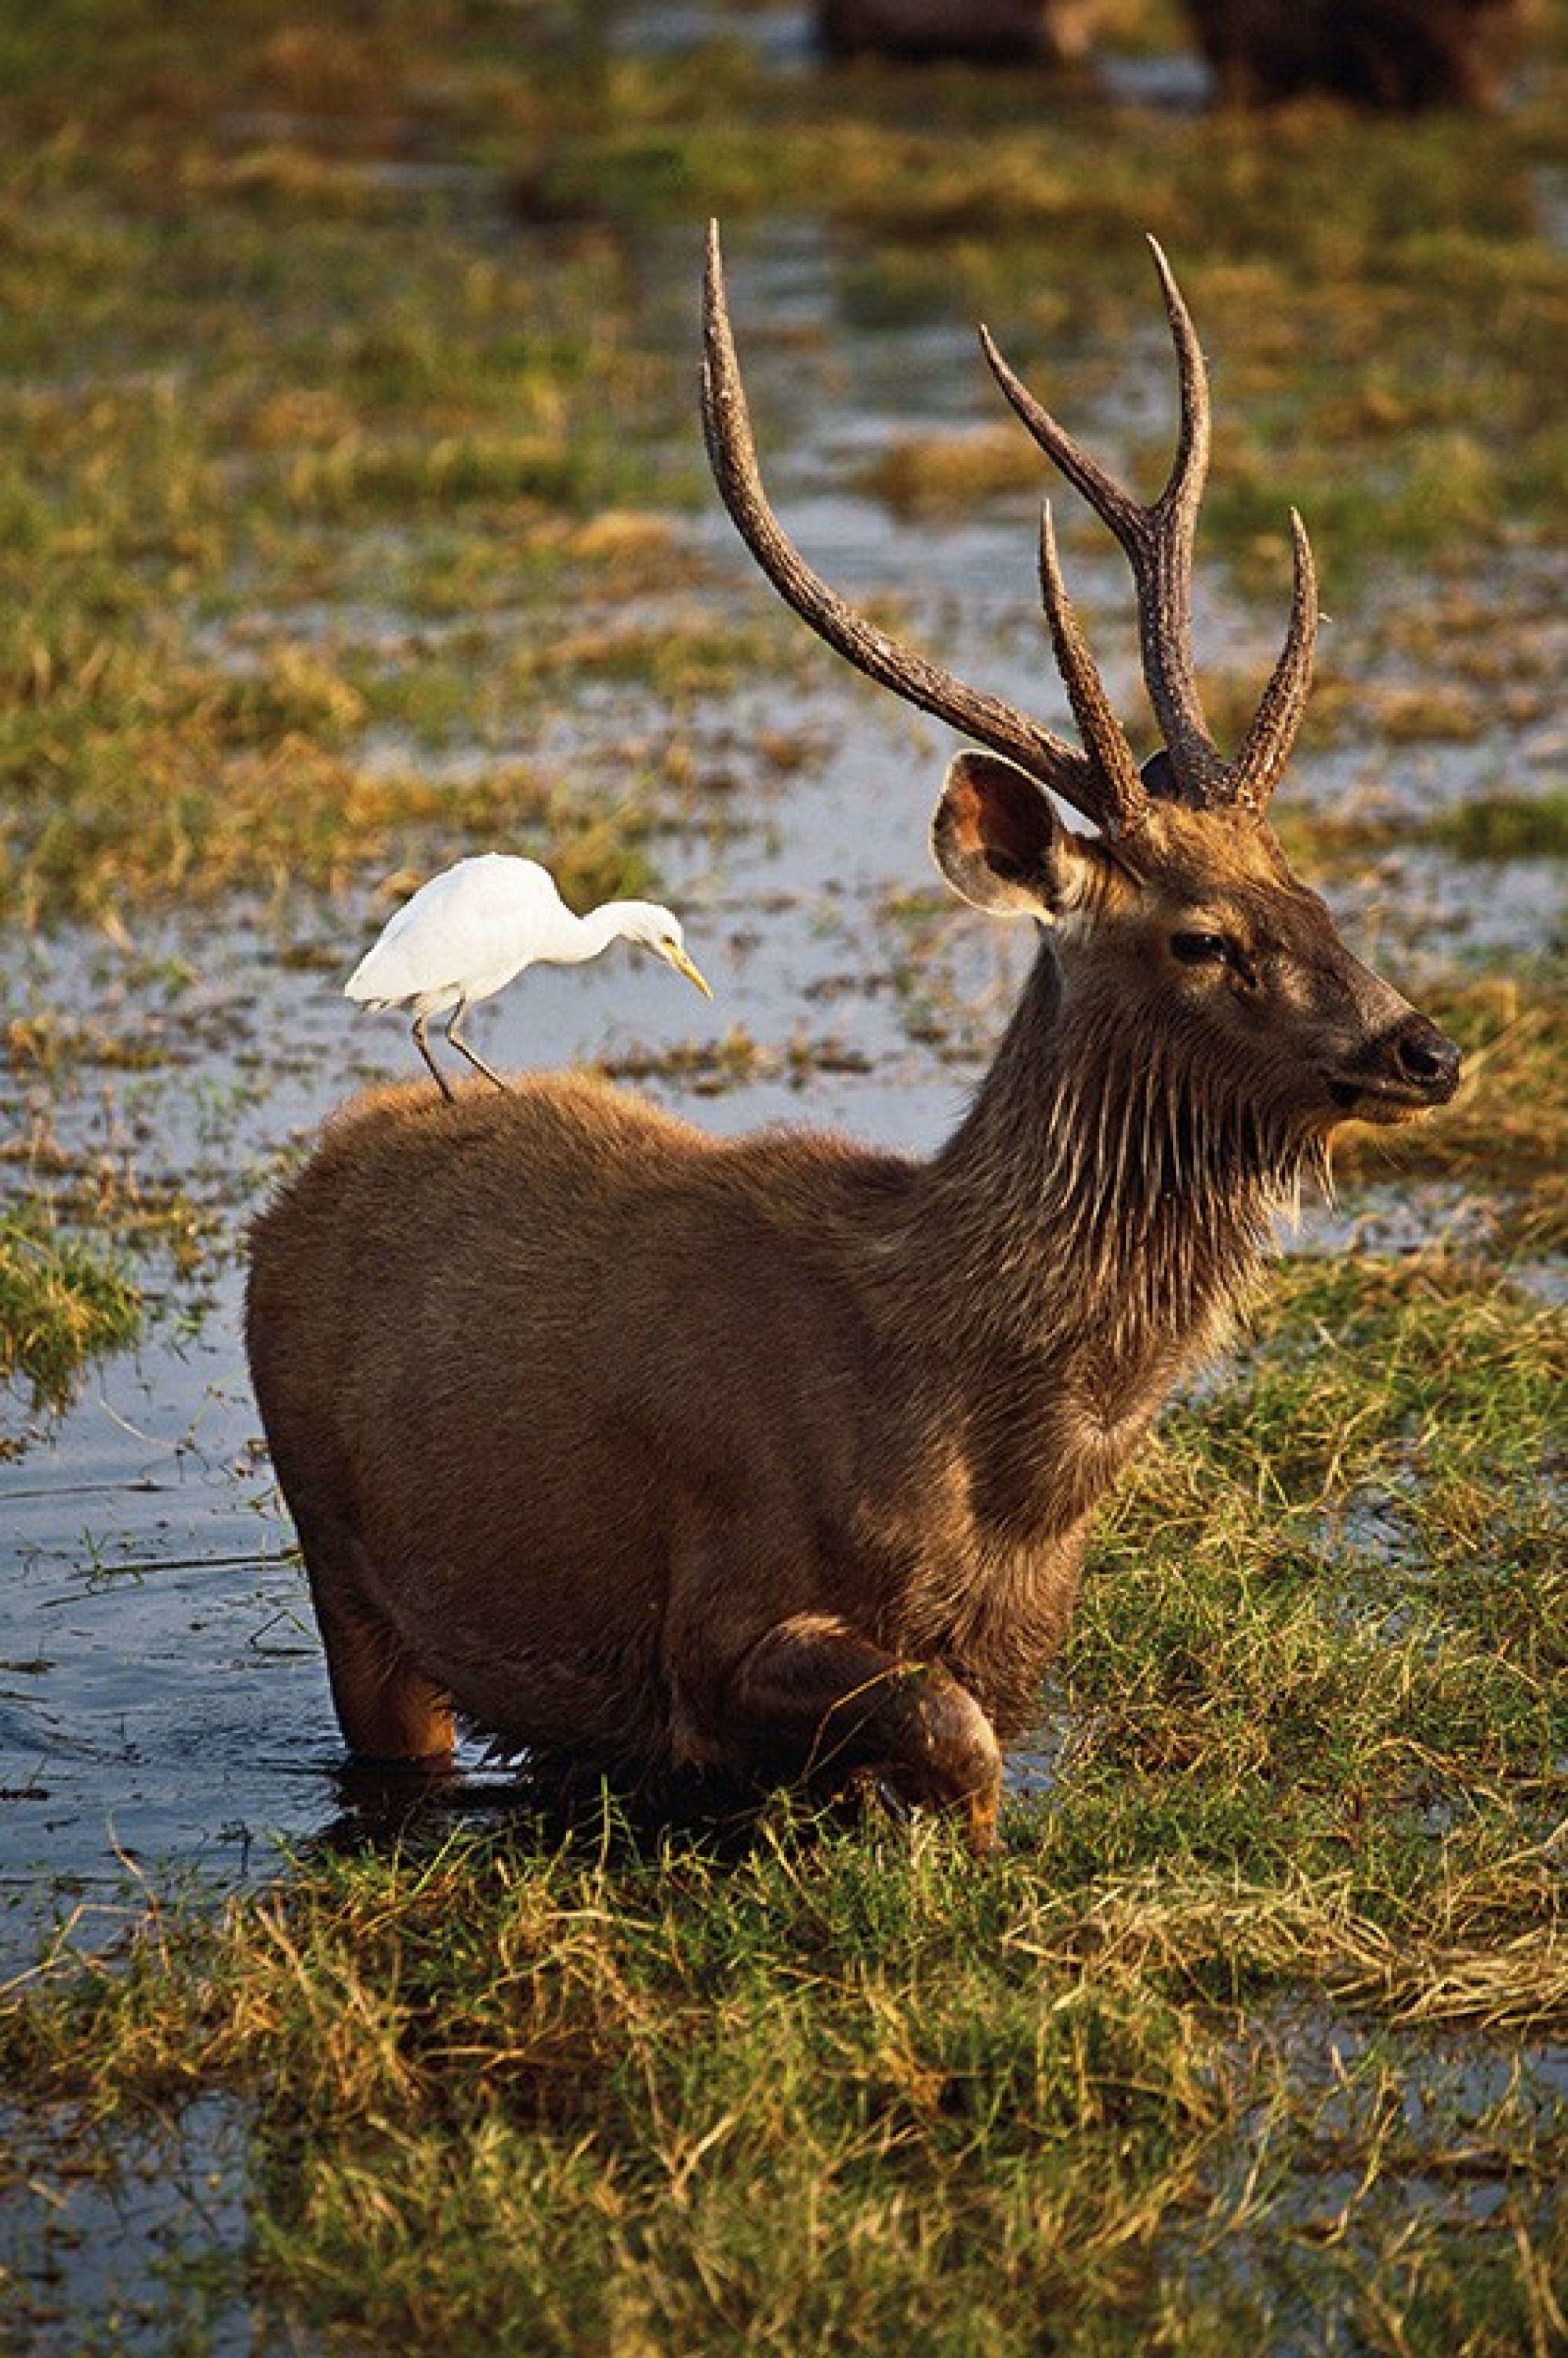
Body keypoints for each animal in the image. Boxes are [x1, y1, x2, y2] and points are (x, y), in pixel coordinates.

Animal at [245, 225, 1461, 1851]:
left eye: (1314, 891)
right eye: (1201, 936)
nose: (1422, 1048)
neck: (991, 1457)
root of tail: (295, 1194)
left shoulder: (1016, 1645)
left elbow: (968, 1730)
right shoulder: (715, 1617)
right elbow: (954, 1741)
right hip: (341, 1562)